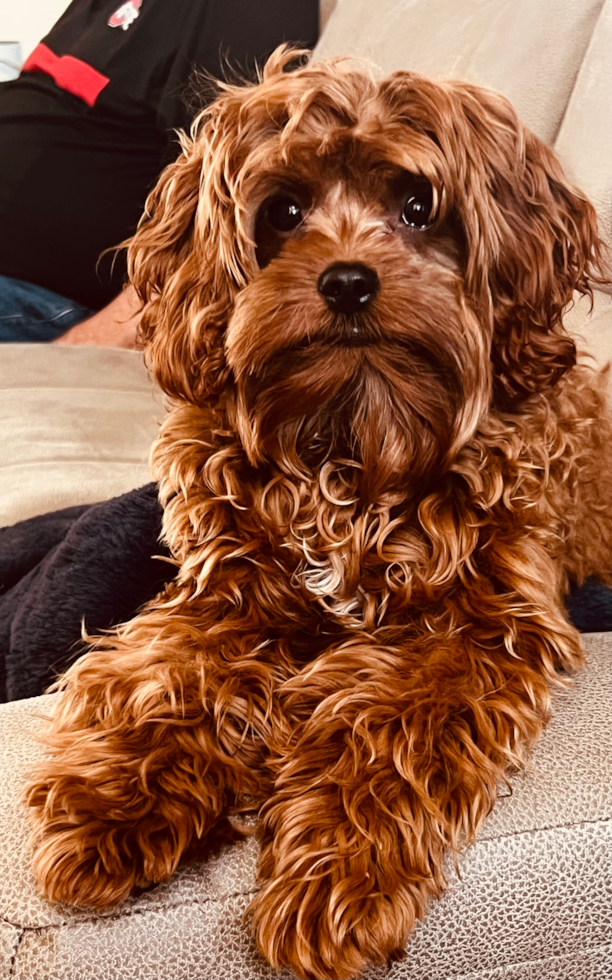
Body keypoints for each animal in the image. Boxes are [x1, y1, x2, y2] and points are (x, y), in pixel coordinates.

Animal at [25, 51, 612, 980]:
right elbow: (164, 678)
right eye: (284, 211)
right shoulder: (224, 599)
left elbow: (383, 729)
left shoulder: (474, 631)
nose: (347, 280)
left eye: (417, 207)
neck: (352, 433)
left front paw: (335, 877)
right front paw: (110, 804)